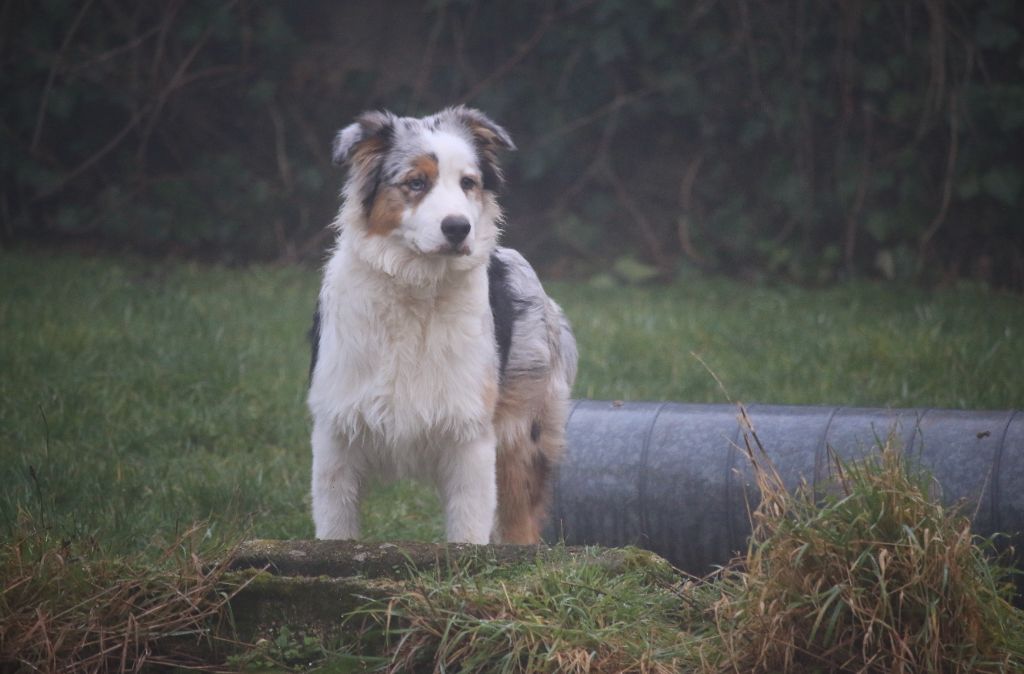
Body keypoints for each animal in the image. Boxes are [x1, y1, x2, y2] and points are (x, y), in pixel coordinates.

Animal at [303, 107, 577, 544]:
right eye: (416, 182)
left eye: (468, 183)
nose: (458, 227)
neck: (417, 286)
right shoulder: (336, 434)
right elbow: (335, 528)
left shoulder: (471, 433)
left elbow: (469, 528)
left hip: (523, 433)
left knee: (521, 522)